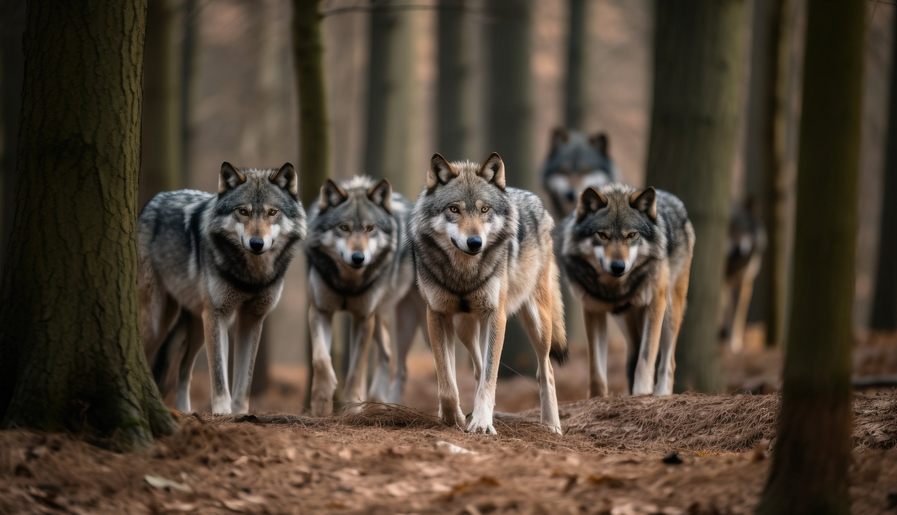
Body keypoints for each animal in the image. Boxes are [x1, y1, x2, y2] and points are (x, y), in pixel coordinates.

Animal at [138, 162, 307, 414]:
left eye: (272, 212)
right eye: (243, 211)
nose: (256, 243)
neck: (251, 277)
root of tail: (153, 201)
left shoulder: (252, 318)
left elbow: (244, 379)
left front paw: (240, 413)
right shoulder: (218, 315)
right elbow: (218, 374)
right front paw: (222, 411)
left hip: (195, 328)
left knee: (183, 372)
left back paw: (185, 410)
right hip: (158, 321)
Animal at [305, 176, 424, 416]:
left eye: (370, 228)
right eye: (344, 228)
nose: (358, 257)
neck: (348, 284)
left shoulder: (363, 318)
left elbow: (356, 370)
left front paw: (352, 408)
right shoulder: (320, 311)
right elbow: (321, 360)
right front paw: (321, 403)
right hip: (384, 319)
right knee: (391, 359)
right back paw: (382, 402)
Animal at [411, 152, 567, 435]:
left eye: (484, 210)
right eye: (454, 209)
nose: (475, 243)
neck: (464, 273)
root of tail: (533, 198)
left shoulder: (496, 315)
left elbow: (489, 377)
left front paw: (482, 423)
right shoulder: (437, 314)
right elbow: (447, 380)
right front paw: (453, 417)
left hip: (537, 323)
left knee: (546, 370)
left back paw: (552, 426)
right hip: (465, 327)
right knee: (476, 367)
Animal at [557, 184, 694, 397]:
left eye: (631, 235)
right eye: (602, 235)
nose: (618, 266)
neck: (616, 288)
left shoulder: (655, 305)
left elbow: (646, 358)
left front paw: (641, 393)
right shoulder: (592, 309)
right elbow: (596, 369)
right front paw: (597, 398)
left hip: (670, 314)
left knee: (668, 362)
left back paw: (661, 393)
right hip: (624, 321)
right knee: (633, 354)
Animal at [719, 199, 766, 352]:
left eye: (744, 229)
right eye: (729, 229)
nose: (737, 250)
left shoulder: (744, 282)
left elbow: (738, 314)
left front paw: (735, 342)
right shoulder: (723, 283)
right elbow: (725, 308)